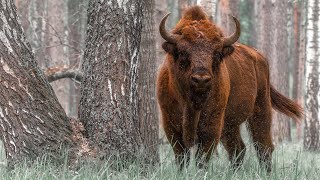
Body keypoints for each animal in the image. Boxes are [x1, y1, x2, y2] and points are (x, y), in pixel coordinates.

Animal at [157, 5, 302, 172]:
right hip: (230, 124)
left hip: (260, 109)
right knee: (238, 148)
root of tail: (259, 56)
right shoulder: (170, 123)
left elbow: (203, 156)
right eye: (182, 52)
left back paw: (266, 172)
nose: (201, 79)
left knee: (263, 146)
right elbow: (182, 155)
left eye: (216, 53)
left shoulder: (212, 123)